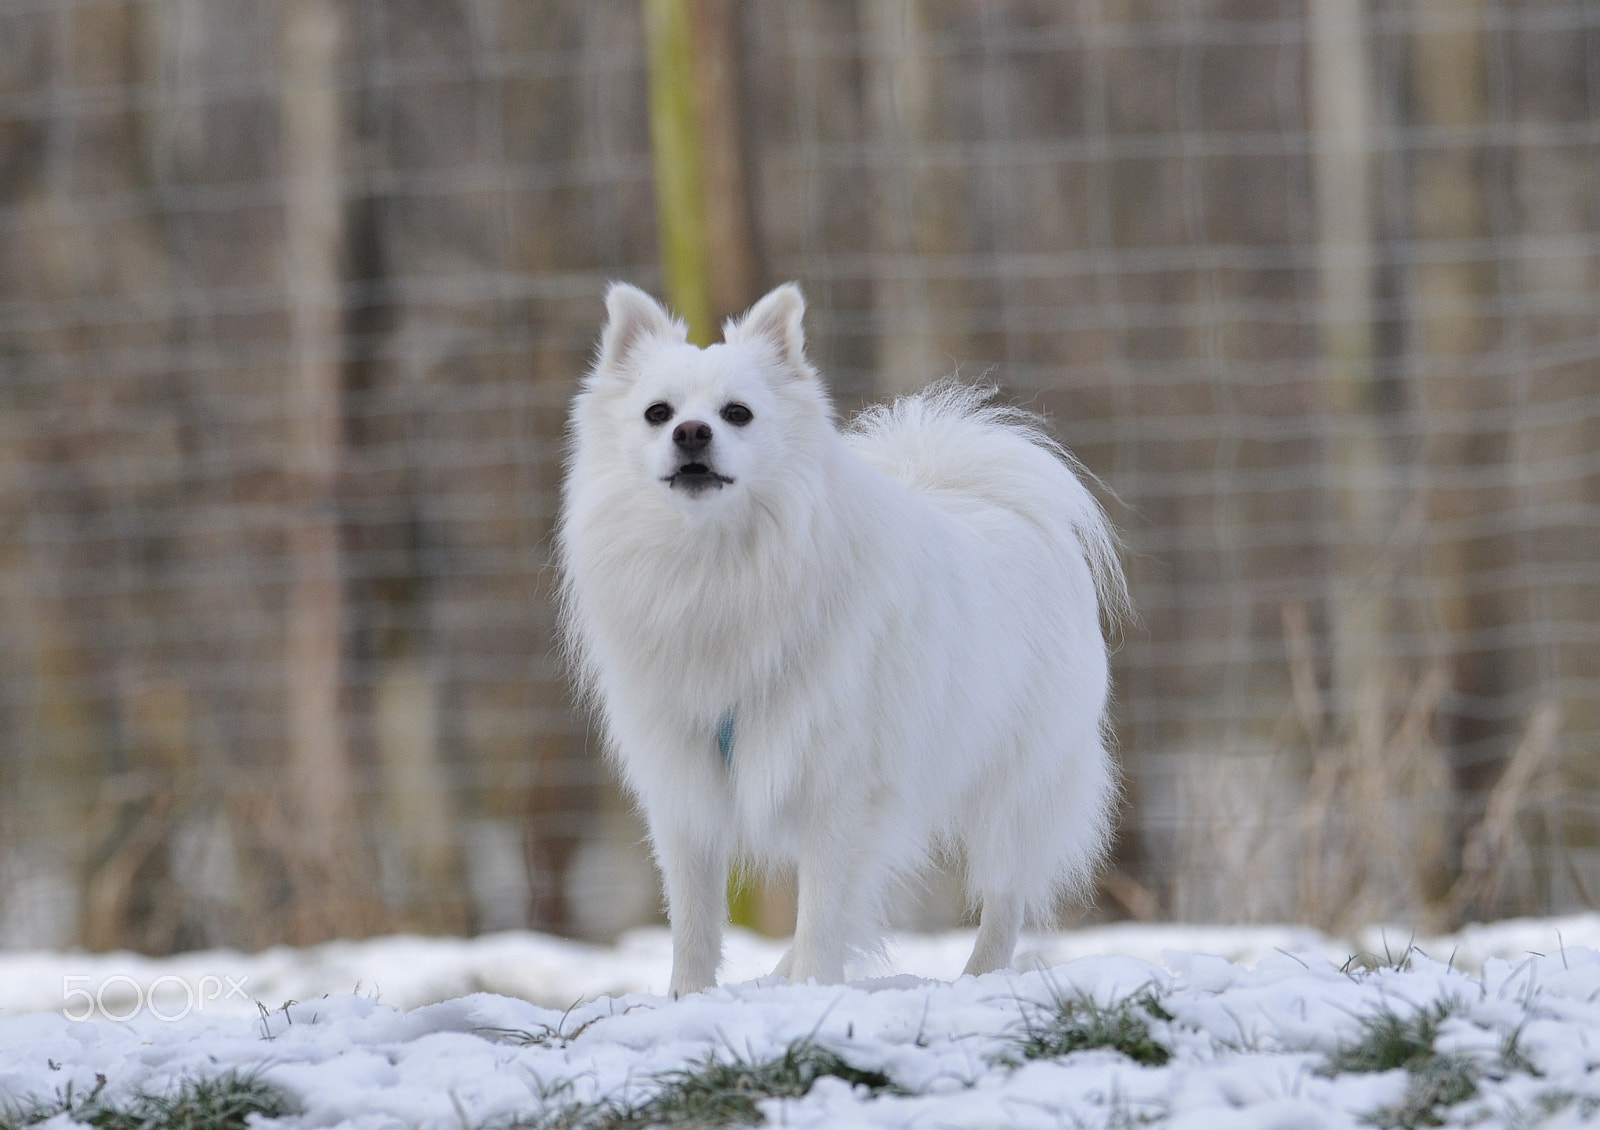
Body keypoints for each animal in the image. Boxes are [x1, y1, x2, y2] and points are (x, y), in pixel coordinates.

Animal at [560, 283, 1126, 992]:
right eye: (657, 414)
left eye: (737, 414)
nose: (691, 432)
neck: (717, 568)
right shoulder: (685, 787)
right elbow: (693, 922)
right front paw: (688, 999)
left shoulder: (842, 789)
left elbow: (823, 912)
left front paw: (811, 992)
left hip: (1019, 784)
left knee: (1006, 892)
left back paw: (978, 977)